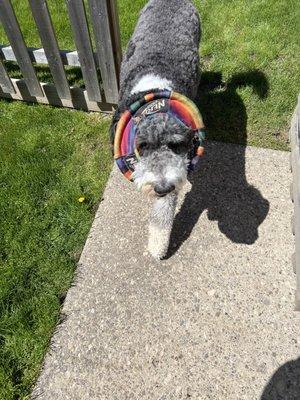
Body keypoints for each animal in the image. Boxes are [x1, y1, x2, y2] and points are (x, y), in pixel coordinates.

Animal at [110, 0, 204, 260]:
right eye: (142, 146)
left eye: (176, 145)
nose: (161, 187)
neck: (152, 88)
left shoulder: (177, 166)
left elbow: (163, 211)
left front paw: (158, 246)